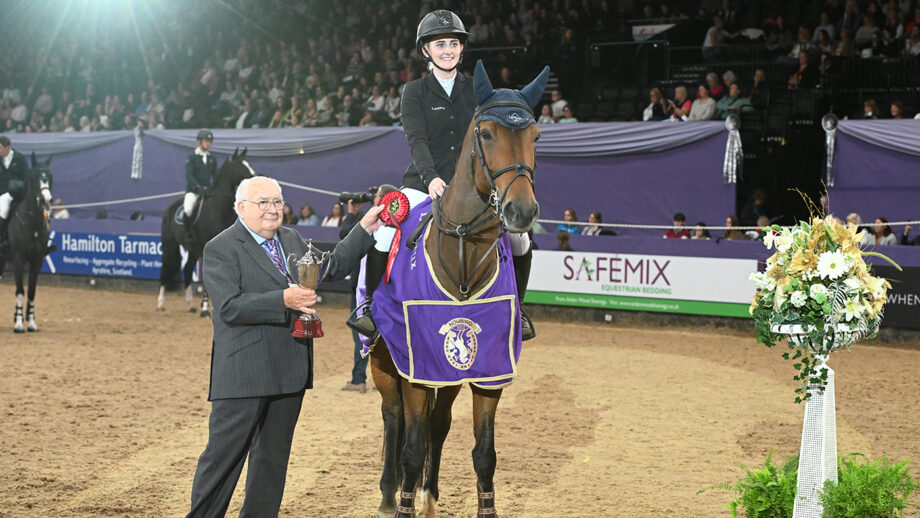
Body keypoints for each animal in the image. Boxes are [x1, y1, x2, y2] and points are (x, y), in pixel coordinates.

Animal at [0, 153, 53, 334]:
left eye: (50, 176)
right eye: (35, 177)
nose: (47, 199)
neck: (32, 222)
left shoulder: (37, 260)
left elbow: (31, 291)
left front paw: (31, 322)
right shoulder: (18, 259)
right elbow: (20, 291)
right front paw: (18, 324)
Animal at [156, 148, 253, 314]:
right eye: (240, 165)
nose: (256, 179)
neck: (219, 207)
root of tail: (170, 207)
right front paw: (206, 309)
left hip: (193, 250)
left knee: (188, 270)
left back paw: (191, 305)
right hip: (170, 245)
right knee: (166, 268)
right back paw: (160, 304)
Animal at [370, 62, 548, 518]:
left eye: (536, 136)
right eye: (485, 133)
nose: (521, 211)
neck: (463, 257)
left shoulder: (488, 369)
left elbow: (484, 453)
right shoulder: (414, 369)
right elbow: (411, 448)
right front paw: (403, 505)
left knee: (438, 425)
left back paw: (428, 497)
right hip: (383, 362)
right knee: (393, 418)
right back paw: (388, 496)